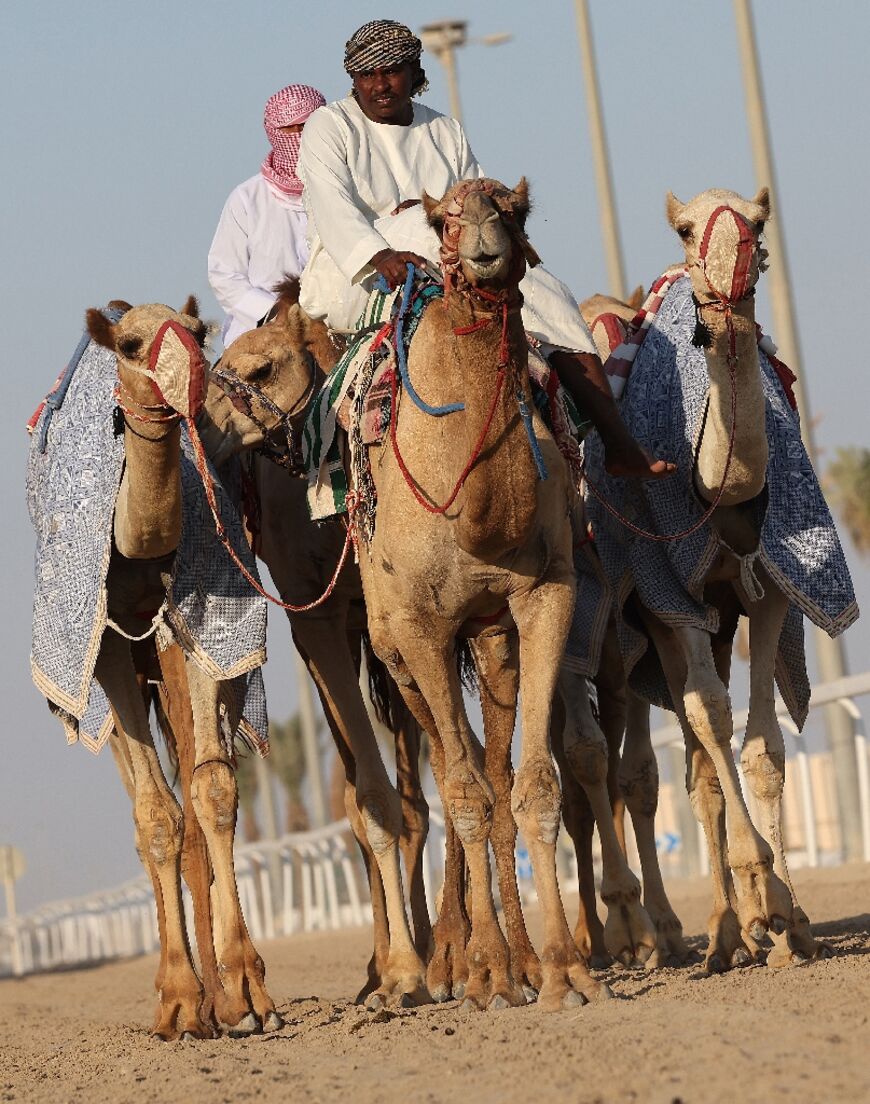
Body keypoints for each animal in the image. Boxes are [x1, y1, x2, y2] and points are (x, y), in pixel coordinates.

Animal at [80, 300, 280, 1033]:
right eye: (133, 344)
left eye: (197, 333)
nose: (195, 382)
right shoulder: (109, 649)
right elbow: (155, 816)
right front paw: (179, 1000)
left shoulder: (202, 626)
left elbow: (212, 792)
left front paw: (245, 991)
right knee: (149, 813)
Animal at [199, 287, 430, 1011]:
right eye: (220, 362)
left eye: (264, 367)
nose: (199, 428)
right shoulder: (320, 623)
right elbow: (372, 799)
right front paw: (403, 972)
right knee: (363, 793)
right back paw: (387, 966)